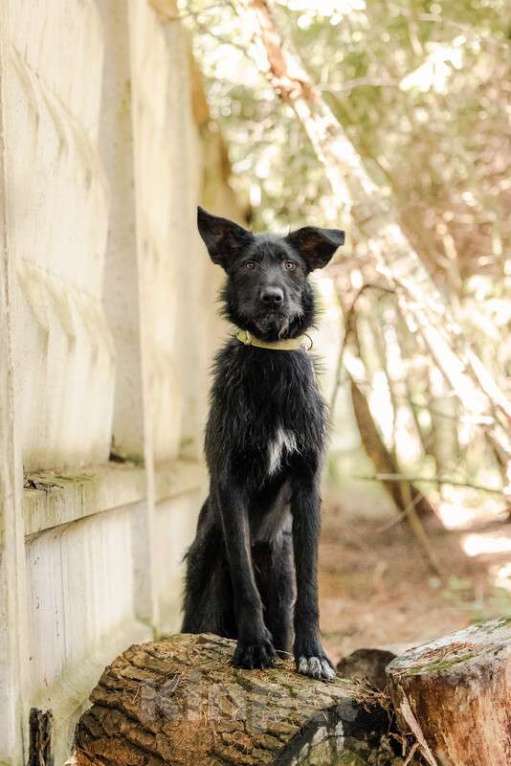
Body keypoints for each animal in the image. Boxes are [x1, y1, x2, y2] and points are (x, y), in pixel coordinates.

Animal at [182, 207, 346, 680]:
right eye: (250, 265)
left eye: (291, 265)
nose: (273, 297)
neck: (270, 361)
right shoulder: (231, 482)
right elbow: (244, 581)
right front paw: (254, 645)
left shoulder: (308, 485)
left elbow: (311, 586)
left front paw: (314, 652)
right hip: (201, 589)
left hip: (280, 574)